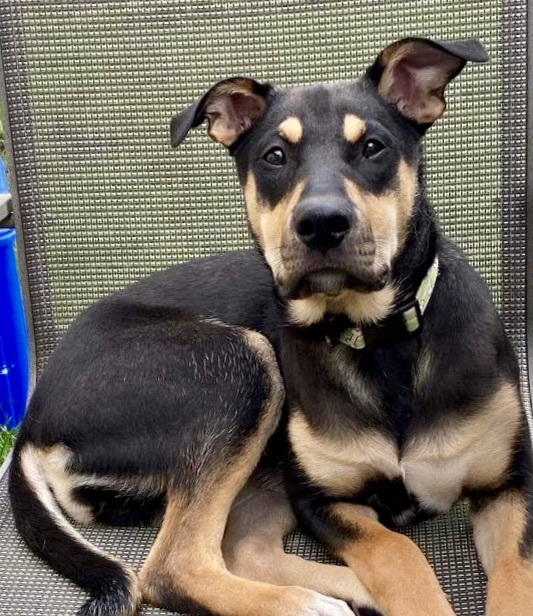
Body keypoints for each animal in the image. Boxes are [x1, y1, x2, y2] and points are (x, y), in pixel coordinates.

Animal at [8, 37, 532, 616]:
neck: (378, 340)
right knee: (175, 566)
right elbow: (399, 553)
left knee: (242, 546)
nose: (321, 224)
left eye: (373, 148)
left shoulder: (510, 488)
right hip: (240, 366)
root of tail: (34, 417)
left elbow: (515, 576)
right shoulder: (321, 499)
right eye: (273, 156)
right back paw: (310, 603)